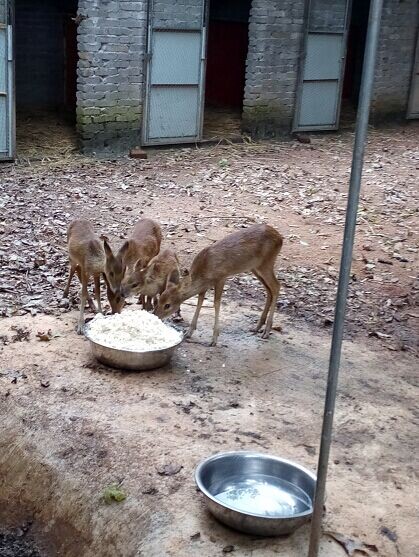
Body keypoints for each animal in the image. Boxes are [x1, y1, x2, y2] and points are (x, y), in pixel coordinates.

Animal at [153, 224, 284, 346]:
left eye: (167, 305)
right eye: (159, 300)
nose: (156, 316)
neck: (203, 272)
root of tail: (280, 238)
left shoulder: (221, 277)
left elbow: (216, 303)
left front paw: (214, 339)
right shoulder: (205, 285)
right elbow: (199, 302)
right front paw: (189, 332)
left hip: (266, 263)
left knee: (276, 286)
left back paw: (266, 331)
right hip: (255, 267)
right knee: (269, 290)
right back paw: (258, 327)